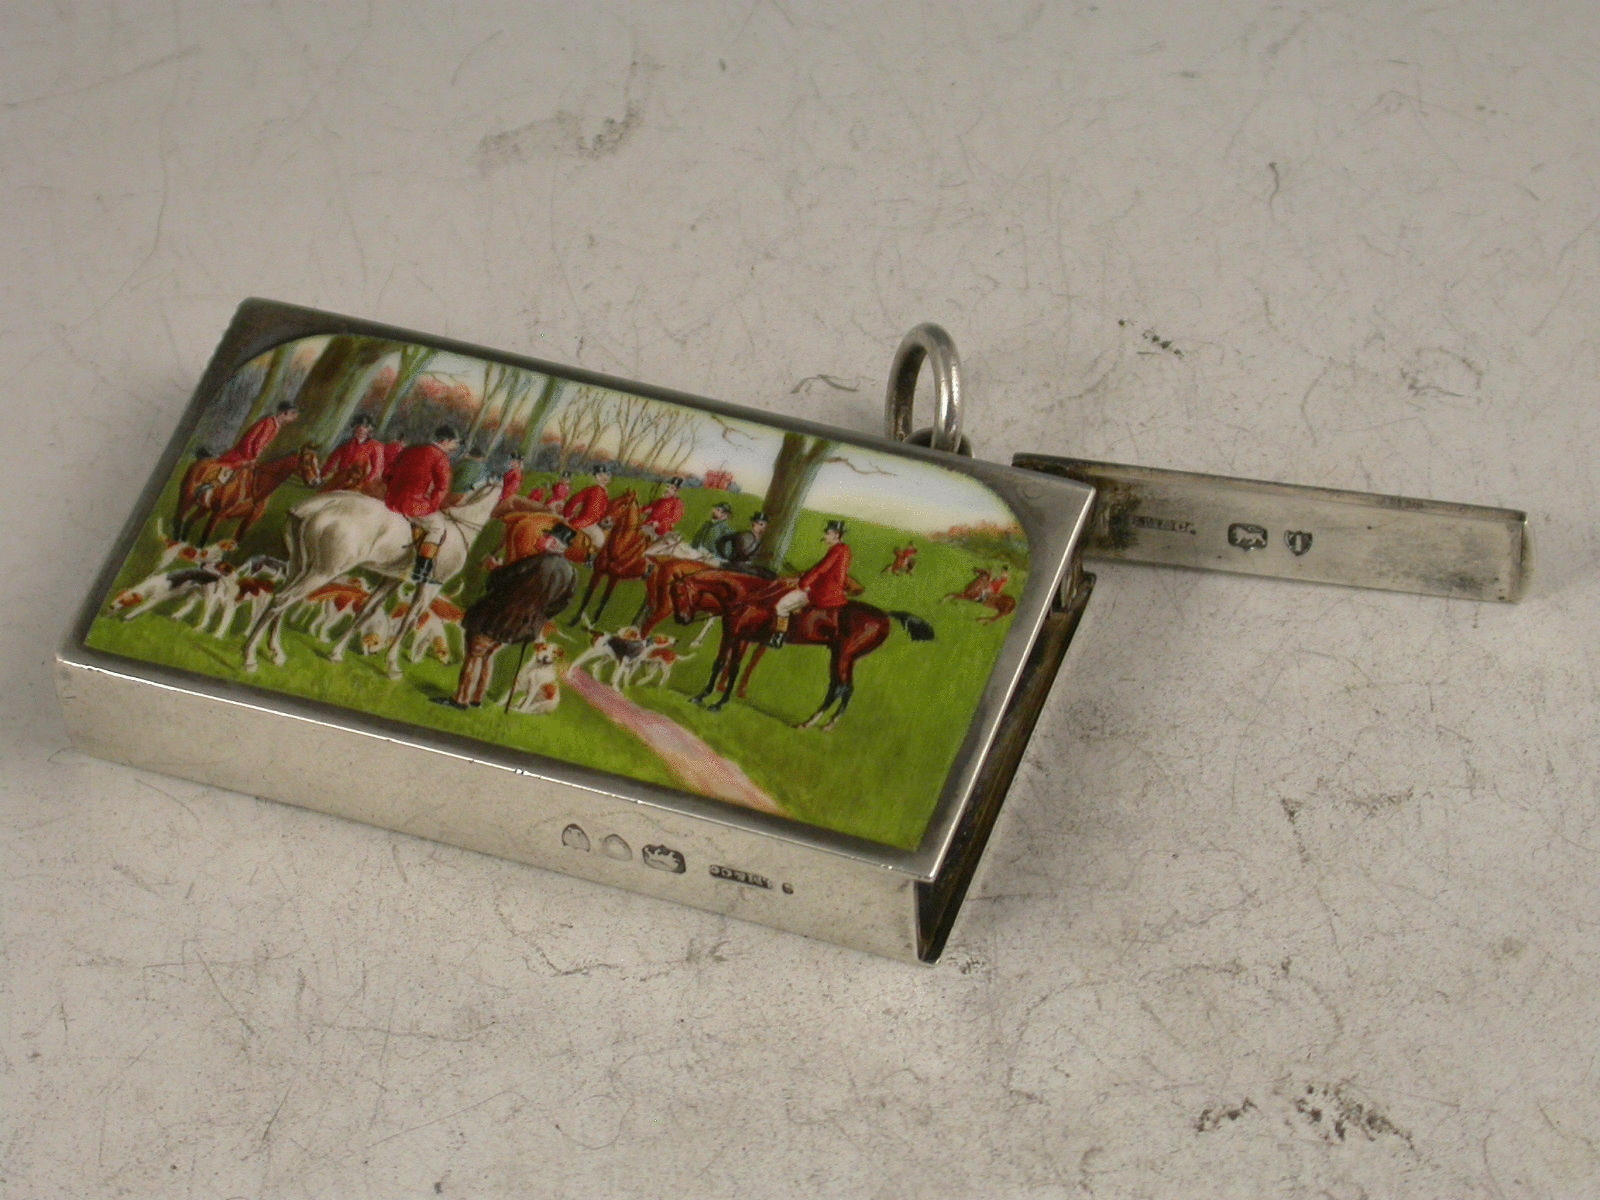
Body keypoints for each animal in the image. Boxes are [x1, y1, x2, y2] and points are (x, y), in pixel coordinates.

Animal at [176, 445, 322, 546]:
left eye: (317, 463)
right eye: (307, 462)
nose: (316, 482)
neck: (256, 486)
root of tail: (201, 461)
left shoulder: (249, 520)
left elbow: (235, 543)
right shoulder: (218, 514)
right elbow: (204, 539)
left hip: (204, 508)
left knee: (189, 522)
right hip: (188, 498)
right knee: (180, 519)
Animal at [241, 482, 502, 677]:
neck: (459, 526)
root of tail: (317, 505)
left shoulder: (391, 579)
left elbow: (366, 611)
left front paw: (336, 653)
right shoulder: (430, 586)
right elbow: (409, 621)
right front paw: (393, 665)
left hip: (299, 566)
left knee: (281, 601)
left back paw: (275, 652)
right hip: (324, 571)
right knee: (282, 601)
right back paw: (249, 657)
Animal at [568, 491, 650, 627]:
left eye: (624, 505)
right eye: (614, 501)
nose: (604, 522)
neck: (622, 544)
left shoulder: (614, 577)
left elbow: (605, 598)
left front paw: (594, 621)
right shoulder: (598, 571)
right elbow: (589, 594)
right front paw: (575, 620)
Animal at [669, 570, 935, 730]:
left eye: (680, 592)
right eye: (672, 593)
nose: (682, 619)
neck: (749, 596)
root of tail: (884, 615)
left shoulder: (740, 637)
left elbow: (732, 668)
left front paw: (717, 704)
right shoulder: (734, 636)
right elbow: (721, 664)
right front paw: (702, 697)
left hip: (844, 655)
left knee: (844, 688)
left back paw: (823, 725)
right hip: (841, 656)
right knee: (837, 688)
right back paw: (811, 723)